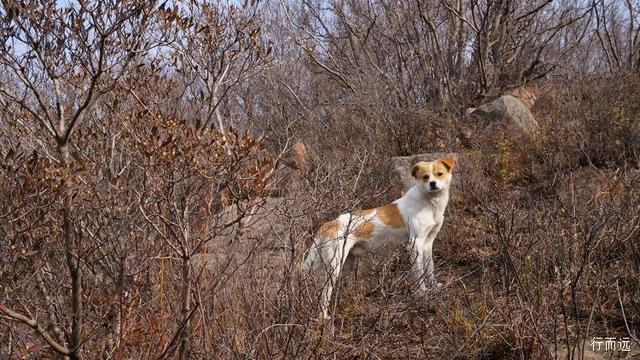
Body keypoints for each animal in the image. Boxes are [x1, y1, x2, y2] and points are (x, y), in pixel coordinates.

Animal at [304, 155, 456, 318]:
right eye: (425, 177)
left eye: (439, 174)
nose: (432, 184)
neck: (429, 203)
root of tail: (330, 223)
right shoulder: (415, 243)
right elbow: (419, 274)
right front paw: (422, 293)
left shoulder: (427, 243)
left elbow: (430, 268)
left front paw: (434, 286)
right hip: (334, 266)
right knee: (324, 292)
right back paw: (323, 317)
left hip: (345, 265)